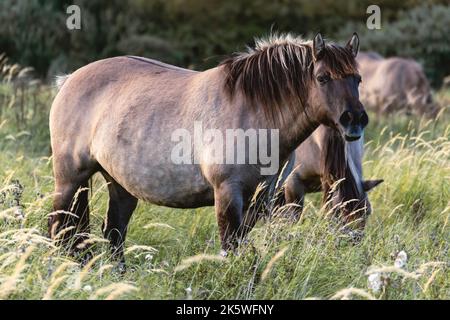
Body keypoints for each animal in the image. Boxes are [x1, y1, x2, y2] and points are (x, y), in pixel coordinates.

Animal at [49, 32, 368, 264]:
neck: (252, 110)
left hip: (120, 185)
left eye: (357, 78)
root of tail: (69, 80)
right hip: (70, 180)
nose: (354, 120)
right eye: (322, 78)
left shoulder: (260, 198)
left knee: (113, 233)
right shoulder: (227, 192)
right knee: (59, 228)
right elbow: (230, 247)